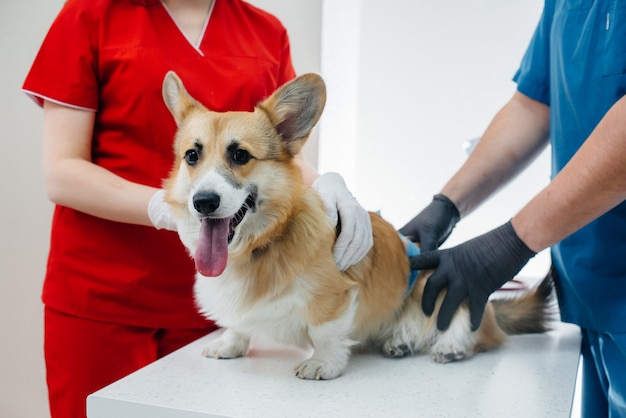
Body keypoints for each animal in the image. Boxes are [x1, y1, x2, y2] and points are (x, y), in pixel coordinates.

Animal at [161, 72, 552, 382]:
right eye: (192, 156)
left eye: (240, 155)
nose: (204, 202)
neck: (261, 245)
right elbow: (237, 323)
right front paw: (231, 344)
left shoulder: (334, 296)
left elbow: (324, 331)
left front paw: (323, 363)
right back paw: (400, 341)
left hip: (440, 282)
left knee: (467, 325)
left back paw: (450, 345)